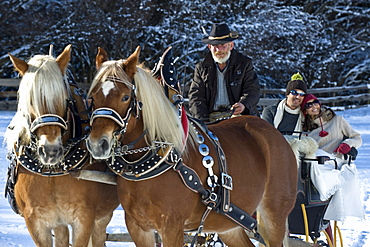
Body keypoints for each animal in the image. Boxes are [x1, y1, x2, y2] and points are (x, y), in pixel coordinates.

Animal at [5, 44, 118, 247]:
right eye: (29, 101)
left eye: (63, 97)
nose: (50, 151)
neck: (53, 171)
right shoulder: (36, 222)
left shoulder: (84, 219)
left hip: (101, 218)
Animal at [86, 46, 298, 247]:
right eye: (92, 98)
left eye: (125, 97)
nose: (98, 144)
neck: (157, 160)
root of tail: (275, 134)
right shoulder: (138, 227)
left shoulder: (172, 227)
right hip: (229, 223)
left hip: (274, 216)